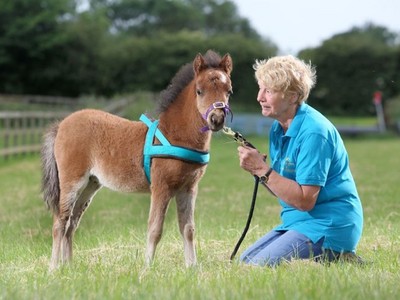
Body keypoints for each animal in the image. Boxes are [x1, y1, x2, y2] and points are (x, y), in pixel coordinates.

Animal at [40, 49, 233, 270]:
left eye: (229, 91)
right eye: (199, 91)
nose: (216, 119)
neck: (175, 133)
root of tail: (61, 125)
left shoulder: (188, 188)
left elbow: (188, 228)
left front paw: (192, 268)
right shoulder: (161, 186)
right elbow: (155, 229)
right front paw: (147, 268)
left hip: (90, 184)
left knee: (71, 223)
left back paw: (69, 267)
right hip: (72, 181)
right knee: (60, 222)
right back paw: (54, 268)